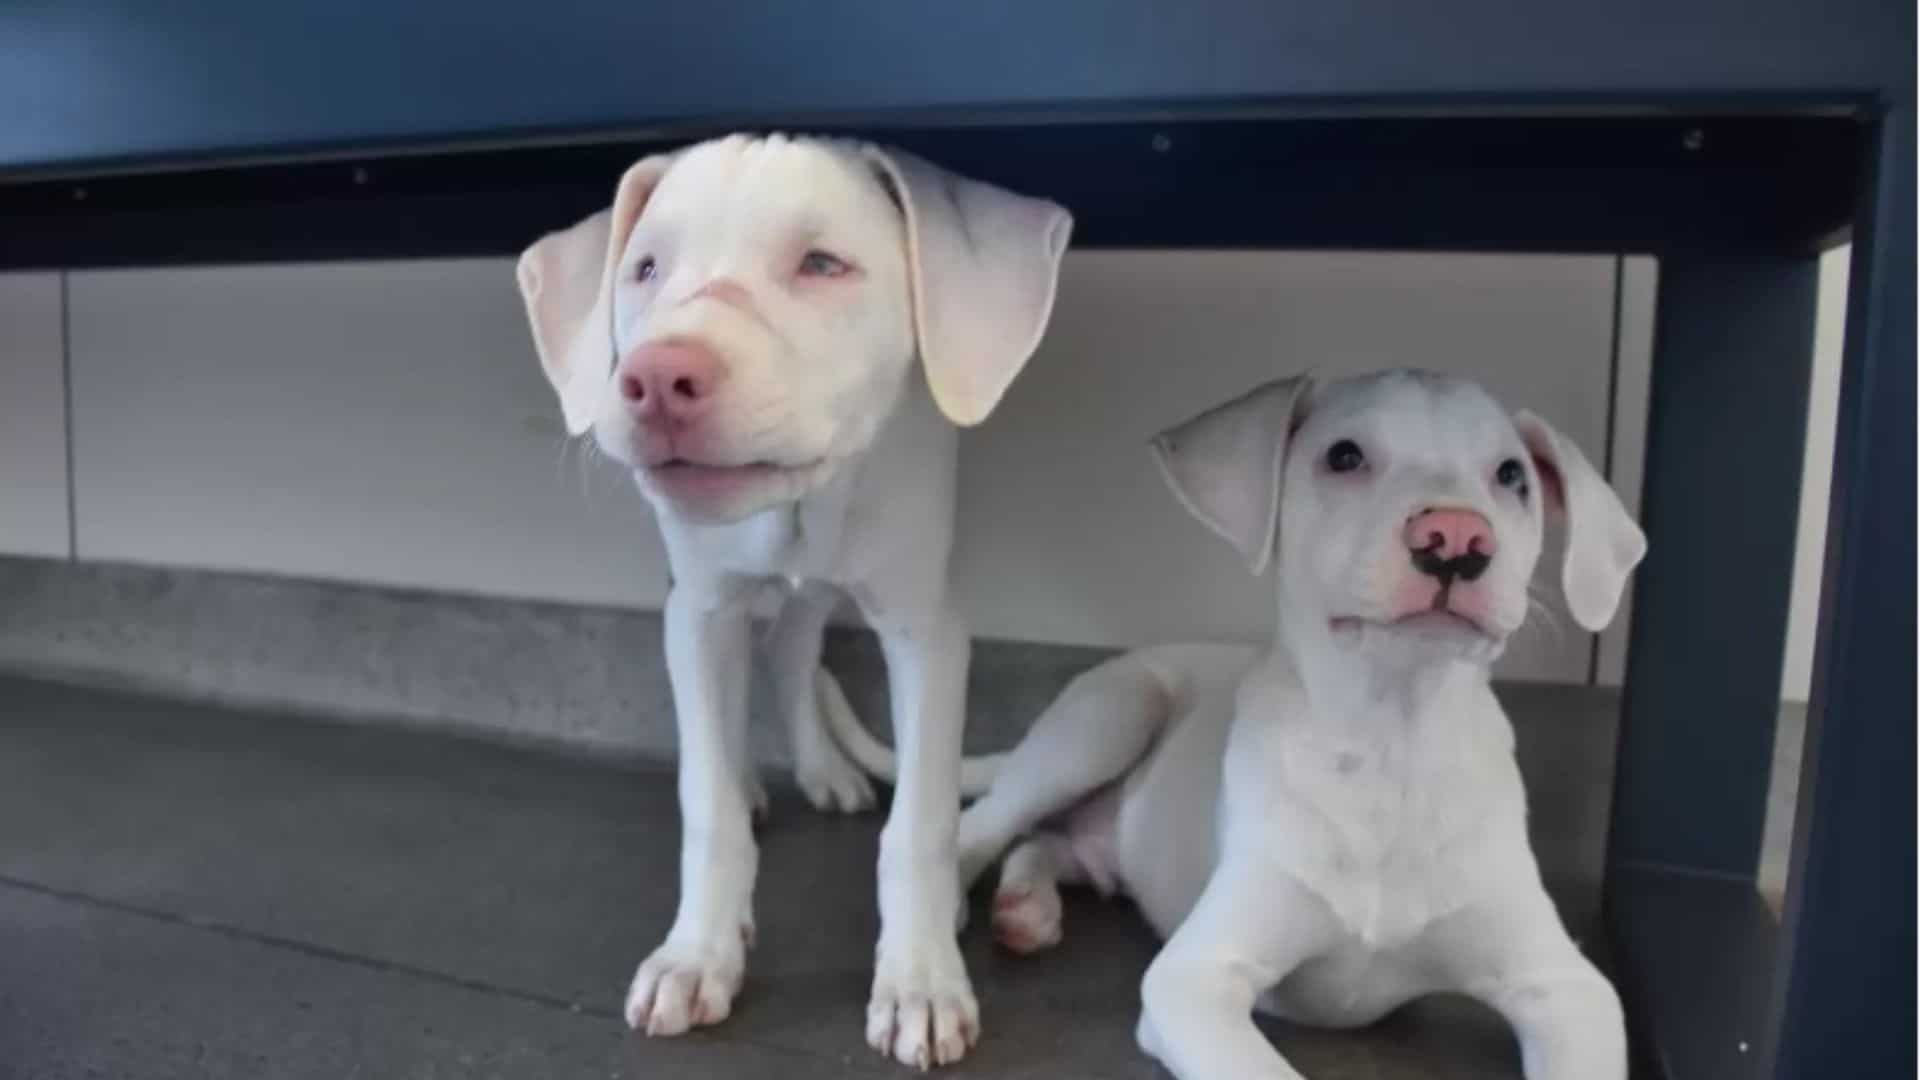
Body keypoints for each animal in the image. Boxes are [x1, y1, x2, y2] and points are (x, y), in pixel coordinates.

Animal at [518, 130, 1075, 1060]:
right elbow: (705, 801)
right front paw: (697, 955)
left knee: (793, 641)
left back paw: (823, 769)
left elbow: (920, 824)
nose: (656, 379)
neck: (799, 504)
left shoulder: (927, 627)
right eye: (644, 269)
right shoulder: (699, 609)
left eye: (822, 264)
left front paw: (920, 979)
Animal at [936, 368, 1643, 1076]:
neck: (1393, 743)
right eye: (1345, 457)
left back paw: (1026, 906)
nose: (1457, 540)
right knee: (985, 824)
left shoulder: (1568, 989)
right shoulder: (1193, 978)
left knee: (1048, 843)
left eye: (1512, 476)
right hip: (1111, 716)